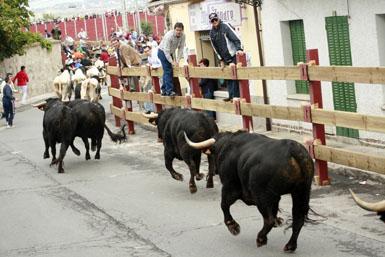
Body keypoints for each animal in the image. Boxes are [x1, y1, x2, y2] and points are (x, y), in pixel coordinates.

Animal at [184, 131, 314, 251]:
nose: (215, 170)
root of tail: (292, 147)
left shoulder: (229, 186)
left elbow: (224, 205)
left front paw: (233, 226)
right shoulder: (276, 196)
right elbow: (275, 209)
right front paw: (278, 220)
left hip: (261, 195)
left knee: (269, 220)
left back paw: (261, 238)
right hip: (301, 192)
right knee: (298, 218)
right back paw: (290, 245)